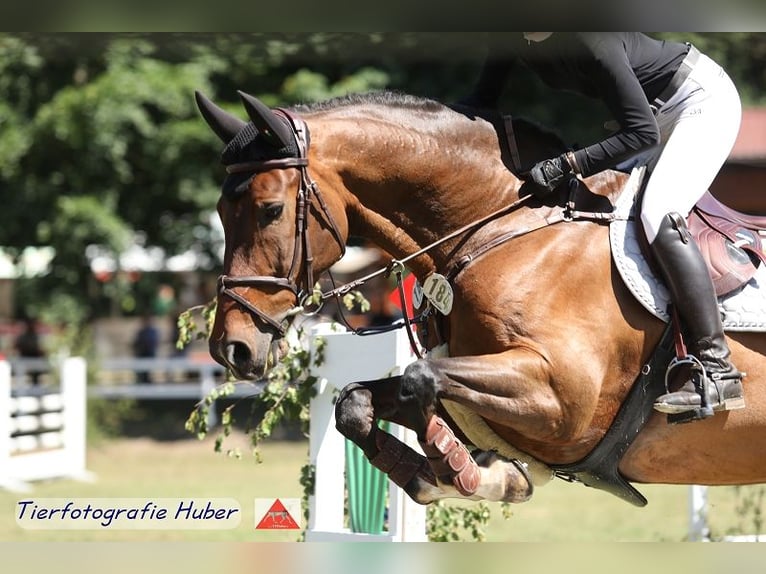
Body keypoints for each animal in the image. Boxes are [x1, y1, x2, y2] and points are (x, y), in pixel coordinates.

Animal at [195, 88, 766, 510]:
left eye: (270, 210)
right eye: (220, 213)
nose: (231, 347)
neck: (502, 228)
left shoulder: (562, 401)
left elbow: (418, 380)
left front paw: (460, 467)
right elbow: (357, 401)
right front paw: (458, 471)